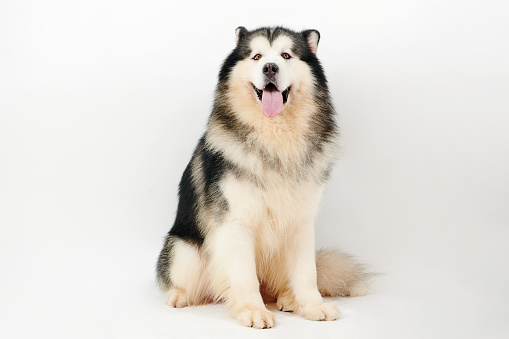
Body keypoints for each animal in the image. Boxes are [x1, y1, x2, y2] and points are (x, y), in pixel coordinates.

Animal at [157, 25, 368, 330]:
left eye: (286, 55)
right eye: (256, 56)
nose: (270, 68)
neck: (275, 137)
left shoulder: (301, 222)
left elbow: (307, 274)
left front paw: (312, 305)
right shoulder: (236, 222)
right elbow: (245, 277)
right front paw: (252, 310)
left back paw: (288, 298)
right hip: (184, 249)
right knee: (190, 279)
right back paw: (180, 295)